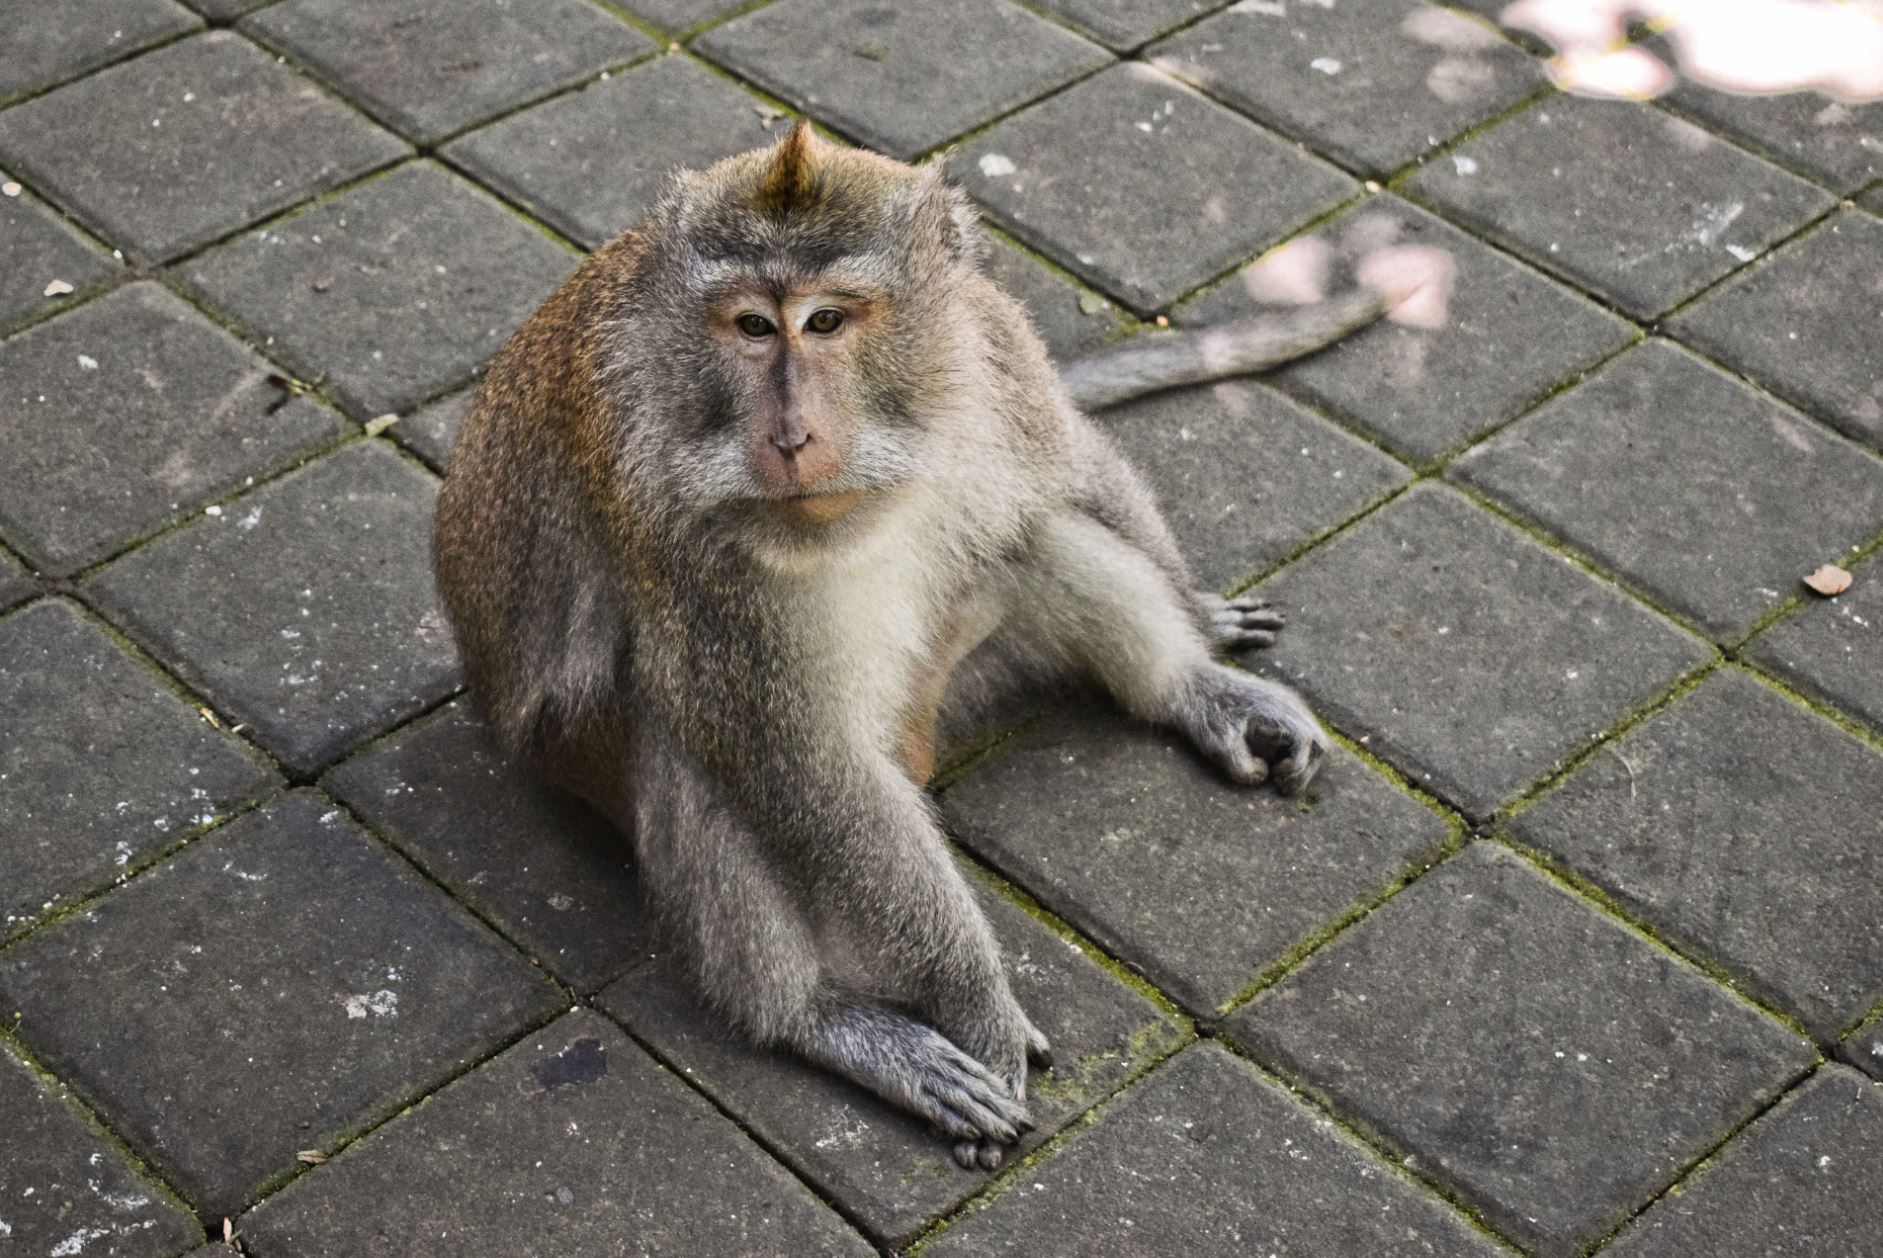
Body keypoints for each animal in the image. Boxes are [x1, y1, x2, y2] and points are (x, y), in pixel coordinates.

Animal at [433, 122, 1427, 1171]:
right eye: (751, 327)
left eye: (827, 321)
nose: (790, 435)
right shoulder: (669, 516)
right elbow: (798, 764)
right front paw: (971, 1007)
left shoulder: (992, 344)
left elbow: (1073, 468)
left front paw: (1202, 637)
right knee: (683, 733)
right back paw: (819, 1020)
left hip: (961, 674)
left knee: (1029, 532)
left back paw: (1184, 691)